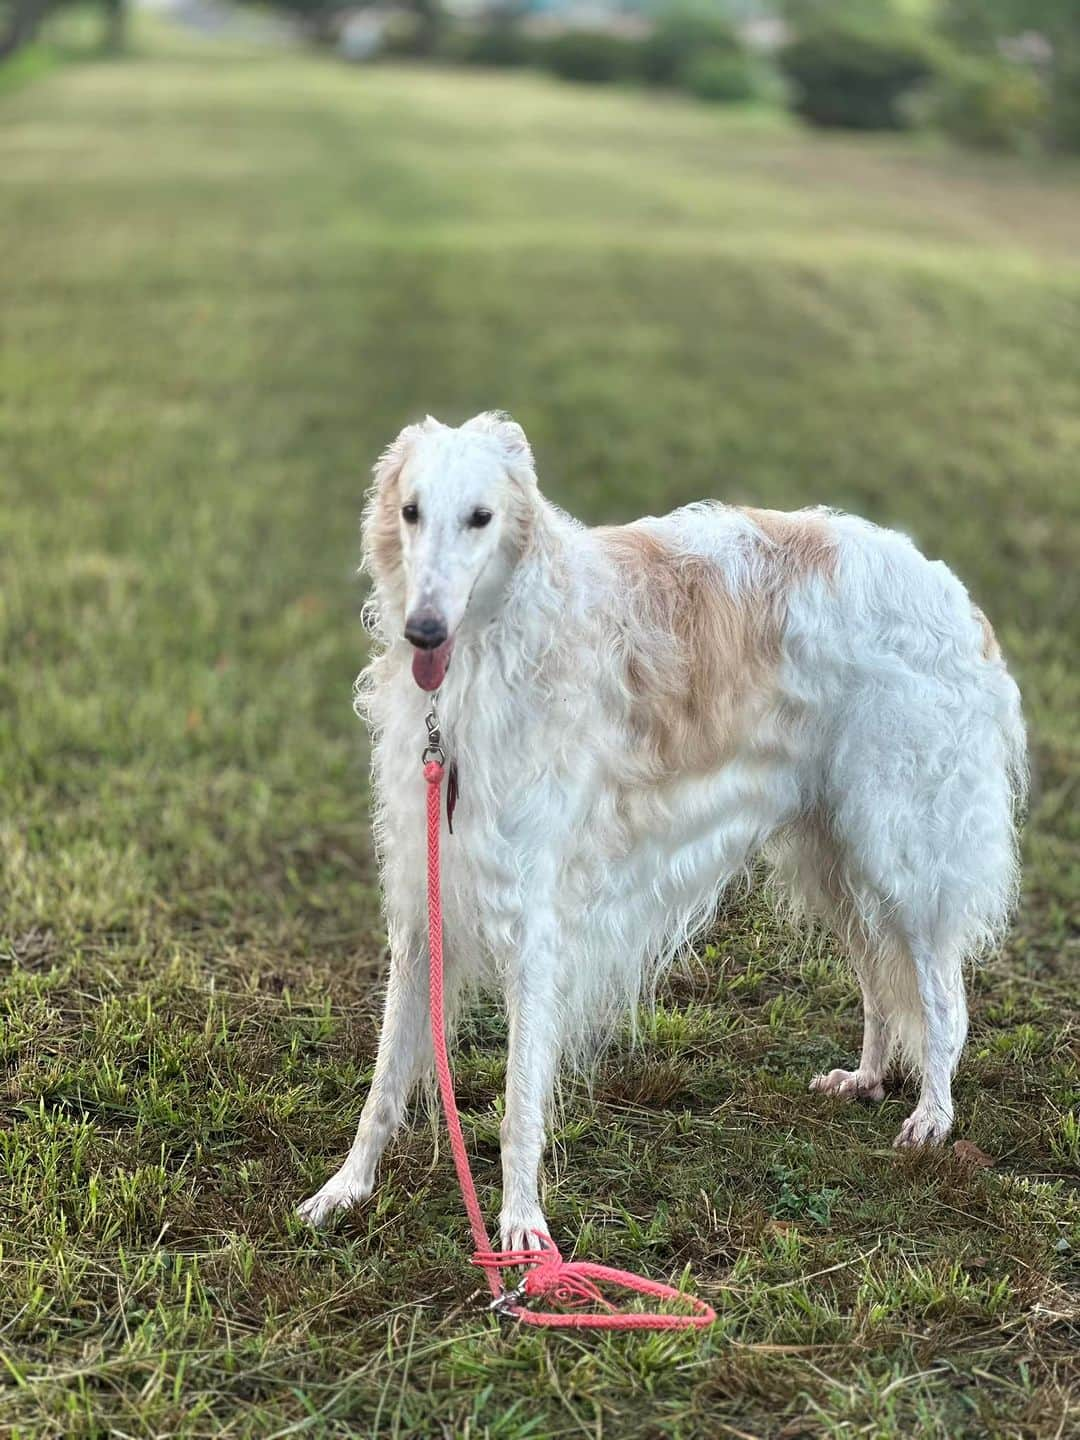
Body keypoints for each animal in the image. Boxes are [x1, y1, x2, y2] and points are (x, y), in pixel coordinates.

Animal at [300, 411, 1025, 1244]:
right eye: (411, 511)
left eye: (480, 516)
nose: (424, 631)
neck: (495, 652)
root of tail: (955, 595)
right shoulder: (427, 901)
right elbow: (385, 1080)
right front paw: (346, 1189)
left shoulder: (535, 917)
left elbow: (518, 1105)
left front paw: (521, 1228)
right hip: (834, 850)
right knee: (879, 980)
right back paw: (867, 1078)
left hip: (899, 845)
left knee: (941, 997)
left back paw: (933, 1116)